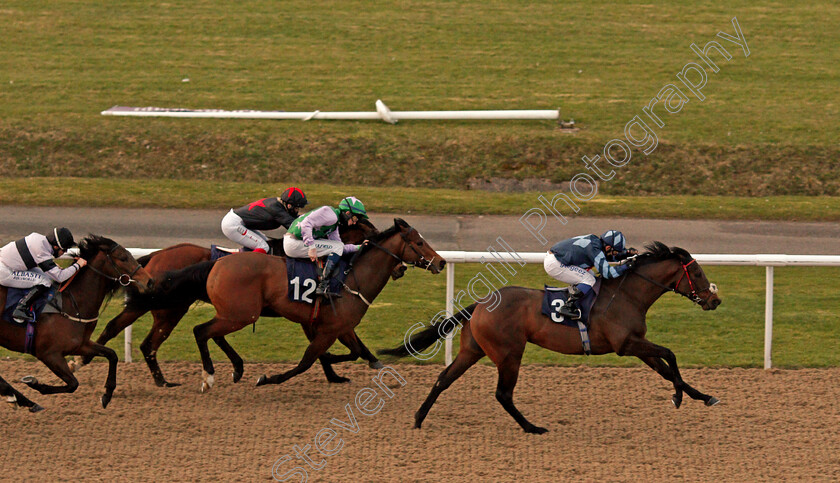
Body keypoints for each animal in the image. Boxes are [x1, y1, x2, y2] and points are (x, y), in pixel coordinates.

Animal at [0, 236, 154, 414]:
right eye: (123, 258)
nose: (150, 282)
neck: (72, 305)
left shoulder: (80, 345)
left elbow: (112, 355)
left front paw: (107, 395)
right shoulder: (48, 354)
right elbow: (73, 384)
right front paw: (35, 384)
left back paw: (18, 398)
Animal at [75, 221, 394, 388]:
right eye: (364, 222)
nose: (376, 236)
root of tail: (156, 255)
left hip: (158, 303)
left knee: (126, 332)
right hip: (170, 308)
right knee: (146, 340)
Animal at [136, 219, 446, 394]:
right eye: (419, 242)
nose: (442, 262)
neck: (349, 276)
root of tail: (218, 263)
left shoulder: (335, 325)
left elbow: (355, 350)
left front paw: (341, 369)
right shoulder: (326, 327)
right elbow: (307, 361)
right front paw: (267, 378)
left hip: (230, 312)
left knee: (200, 334)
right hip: (227, 313)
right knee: (196, 332)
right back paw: (206, 377)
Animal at [380, 244, 720, 436]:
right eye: (698, 274)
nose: (714, 300)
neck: (627, 294)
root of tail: (481, 303)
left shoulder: (635, 344)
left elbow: (665, 368)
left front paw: (703, 396)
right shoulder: (626, 345)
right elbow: (670, 355)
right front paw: (678, 397)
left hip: (472, 350)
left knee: (444, 379)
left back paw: (419, 419)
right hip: (509, 354)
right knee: (503, 394)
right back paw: (532, 428)